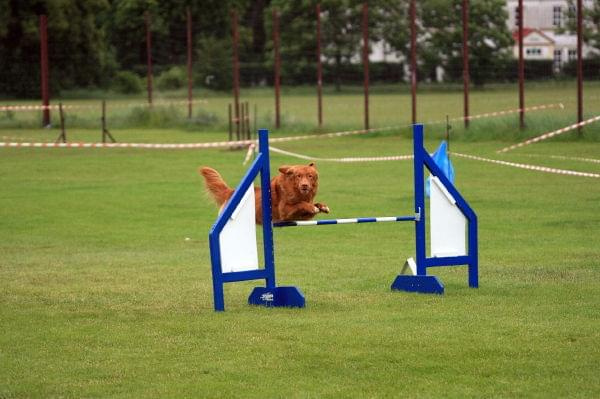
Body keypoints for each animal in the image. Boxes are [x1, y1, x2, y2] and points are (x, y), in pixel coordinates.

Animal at [200, 162, 330, 225]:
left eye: (310, 176)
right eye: (298, 176)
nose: (304, 185)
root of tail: (231, 192)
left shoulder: (304, 217)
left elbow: (313, 204)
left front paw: (323, 206)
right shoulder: (285, 211)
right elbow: (301, 204)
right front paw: (312, 207)